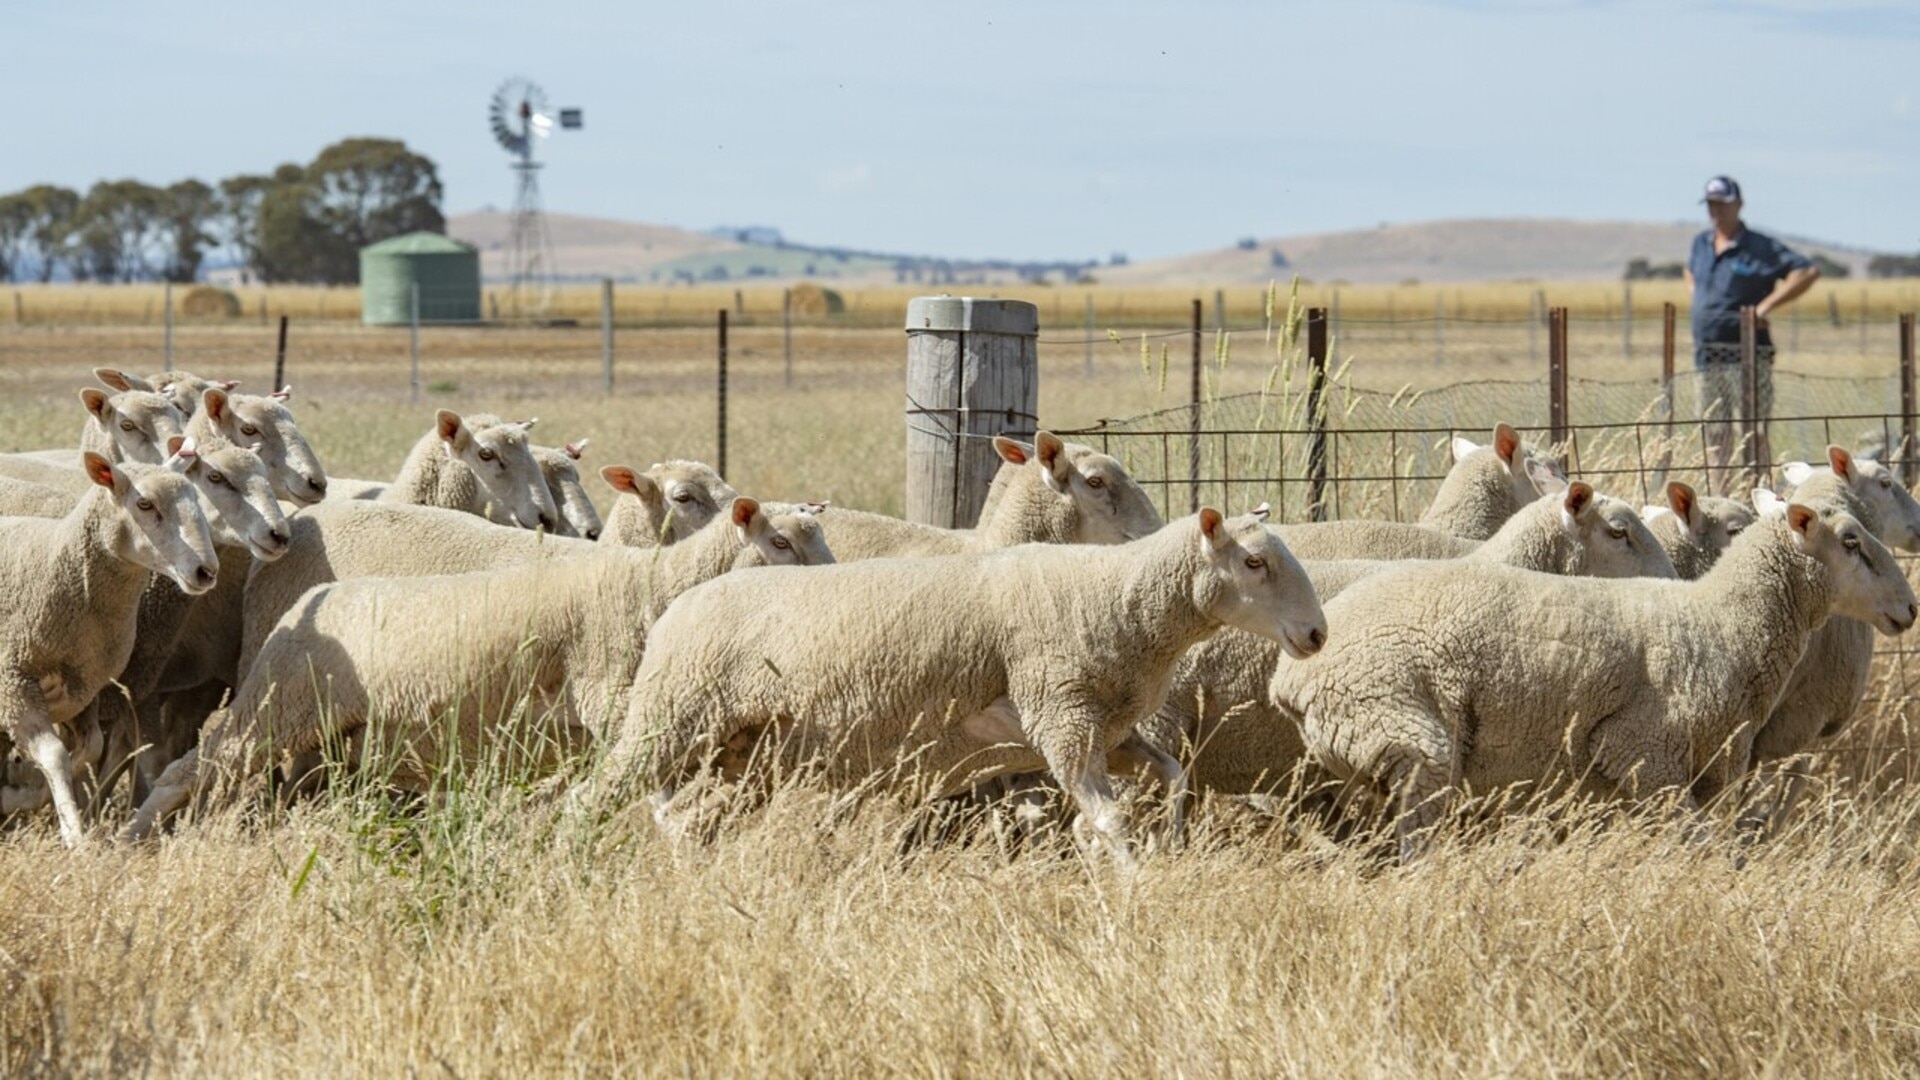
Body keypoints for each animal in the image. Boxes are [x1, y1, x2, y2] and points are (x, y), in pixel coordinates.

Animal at [0, 449, 216, 845]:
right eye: (144, 503)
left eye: (197, 499)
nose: (205, 571)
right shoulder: (15, 682)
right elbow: (55, 755)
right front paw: (75, 837)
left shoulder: (85, 687)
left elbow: (90, 749)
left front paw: (31, 797)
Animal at [125, 495, 833, 834]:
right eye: (778, 540)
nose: (834, 578)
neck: (651, 585)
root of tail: (307, 603)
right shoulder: (610, 693)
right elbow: (641, 777)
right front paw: (675, 828)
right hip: (276, 704)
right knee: (192, 765)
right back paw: (130, 838)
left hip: (321, 732)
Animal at [591, 507, 1328, 864]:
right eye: (1254, 562)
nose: (1317, 634)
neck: (1116, 596)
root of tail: (677, 606)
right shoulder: (1062, 722)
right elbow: (1111, 818)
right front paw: (1129, 880)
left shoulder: (1105, 733)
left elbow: (1172, 779)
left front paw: (1165, 847)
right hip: (669, 721)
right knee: (594, 795)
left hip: (746, 755)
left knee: (692, 821)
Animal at [1267, 495, 1912, 857]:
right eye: (1851, 542)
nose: (1910, 608)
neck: (1721, 622)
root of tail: (1292, 677)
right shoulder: (1644, 753)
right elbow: (1698, 849)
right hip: (1405, 733)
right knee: (1416, 842)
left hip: (1368, 756)